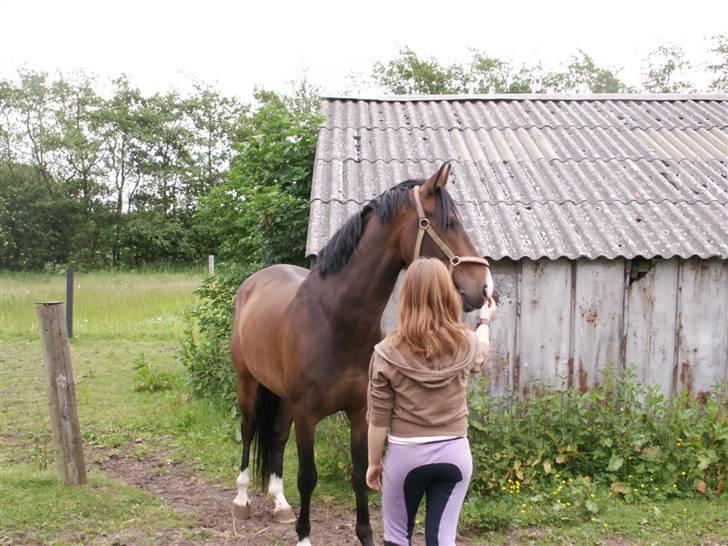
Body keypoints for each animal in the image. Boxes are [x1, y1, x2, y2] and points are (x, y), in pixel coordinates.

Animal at [230, 163, 492, 544]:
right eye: (449, 223)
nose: (483, 287)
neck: (334, 319)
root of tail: (254, 281)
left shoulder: (361, 412)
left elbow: (361, 475)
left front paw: (364, 534)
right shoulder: (307, 414)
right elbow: (308, 477)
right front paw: (304, 536)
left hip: (283, 396)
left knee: (276, 435)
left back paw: (280, 504)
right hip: (247, 381)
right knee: (249, 429)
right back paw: (241, 498)